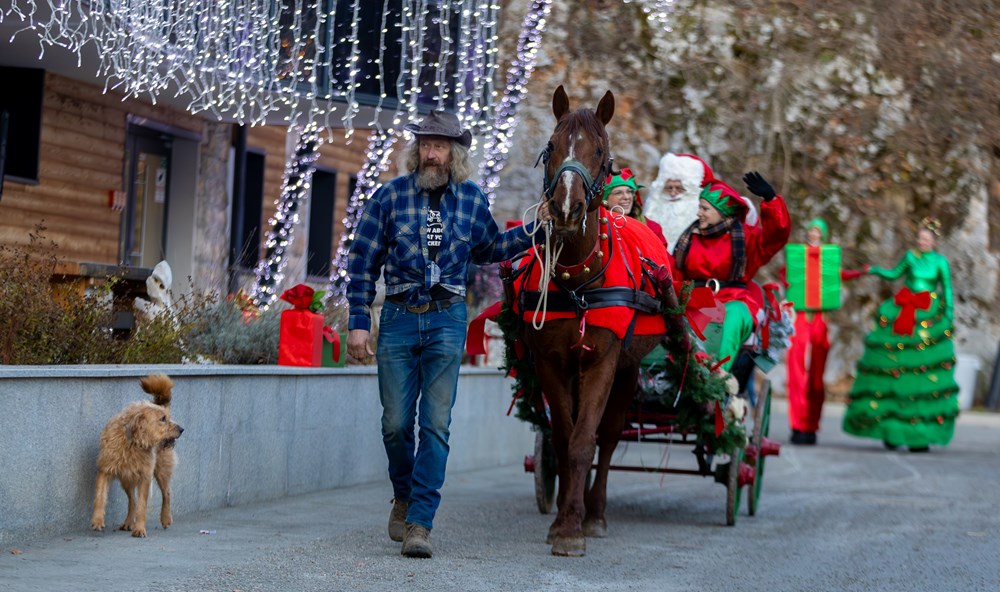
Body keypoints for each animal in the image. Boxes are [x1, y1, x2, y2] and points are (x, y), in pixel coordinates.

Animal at [91, 374, 184, 536]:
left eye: (167, 417)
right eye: (162, 419)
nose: (182, 429)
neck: (133, 442)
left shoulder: (144, 477)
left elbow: (142, 505)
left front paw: (140, 528)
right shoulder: (105, 470)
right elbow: (100, 497)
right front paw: (97, 521)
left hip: (161, 470)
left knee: (166, 493)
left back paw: (166, 518)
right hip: (126, 478)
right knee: (132, 501)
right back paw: (128, 522)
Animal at [520, 85, 676, 556]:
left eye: (601, 152)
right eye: (552, 145)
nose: (567, 209)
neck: (578, 280)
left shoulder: (604, 362)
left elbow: (585, 440)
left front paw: (574, 526)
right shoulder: (551, 362)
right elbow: (562, 436)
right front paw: (561, 519)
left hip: (628, 370)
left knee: (608, 437)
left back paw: (596, 512)